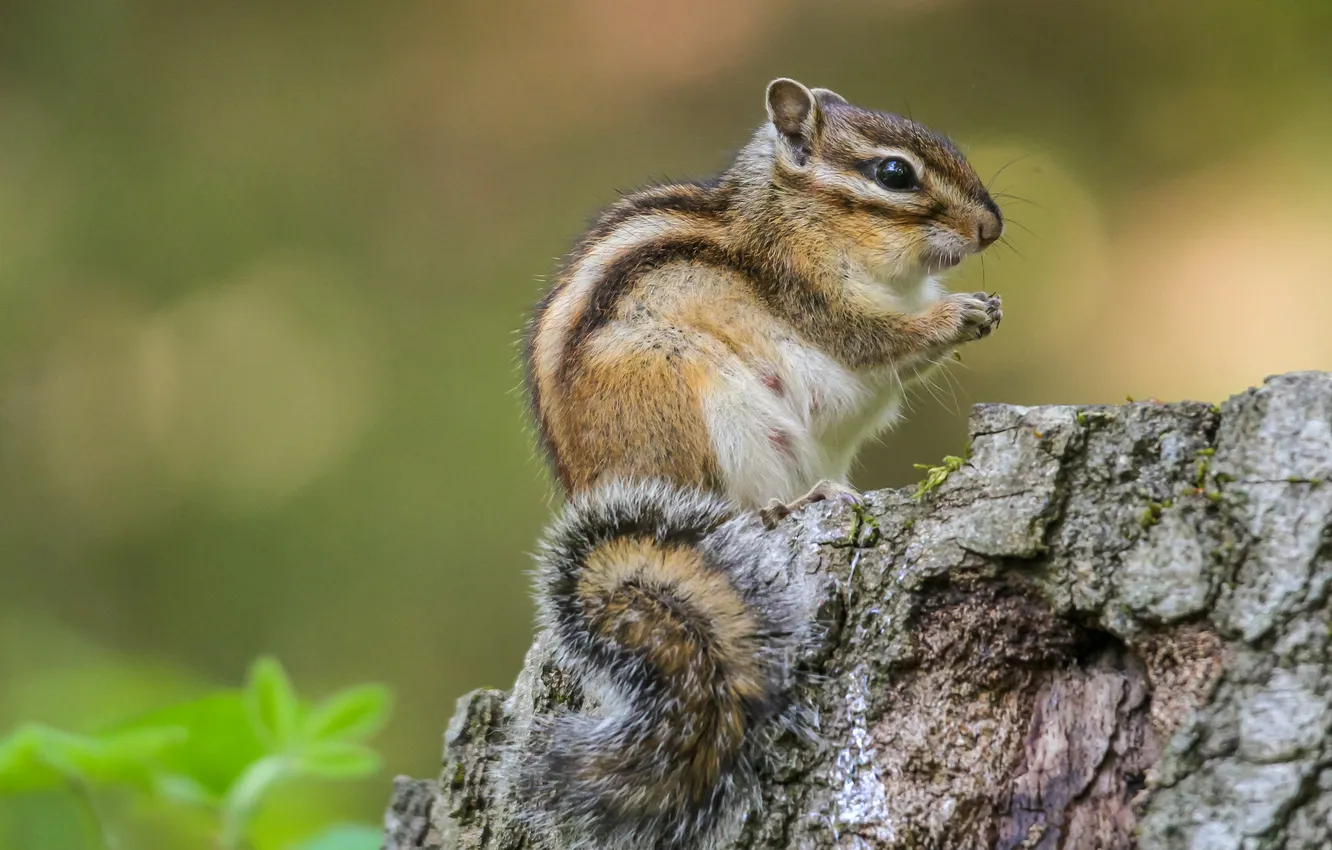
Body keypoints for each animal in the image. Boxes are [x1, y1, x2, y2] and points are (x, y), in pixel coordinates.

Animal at [515, 78, 1004, 849]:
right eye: (894, 173)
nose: (991, 228)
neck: (797, 216)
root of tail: (591, 490)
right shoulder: (811, 290)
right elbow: (872, 337)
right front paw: (958, 314)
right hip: (687, 394)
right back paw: (792, 504)